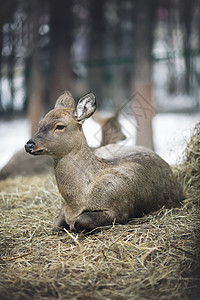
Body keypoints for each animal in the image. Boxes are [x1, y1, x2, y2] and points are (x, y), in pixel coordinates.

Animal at [24, 91, 183, 232]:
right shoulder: (63, 207)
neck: (76, 202)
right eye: (41, 123)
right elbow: (56, 225)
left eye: (60, 126)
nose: (29, 145)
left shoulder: (118, 208)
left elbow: (82, 221)